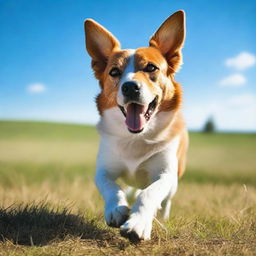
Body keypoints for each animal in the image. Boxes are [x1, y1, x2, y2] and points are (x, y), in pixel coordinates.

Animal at [84, 10, 188, 241]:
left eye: (151, 67)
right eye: (114, 72)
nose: (130, 87)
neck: (135, 137)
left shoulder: (165, 174)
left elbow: (150, 193)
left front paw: (138, 223)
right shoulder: (103, 170)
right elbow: (111, 187)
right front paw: (116, 209)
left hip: (176, 179)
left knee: (164, 198)